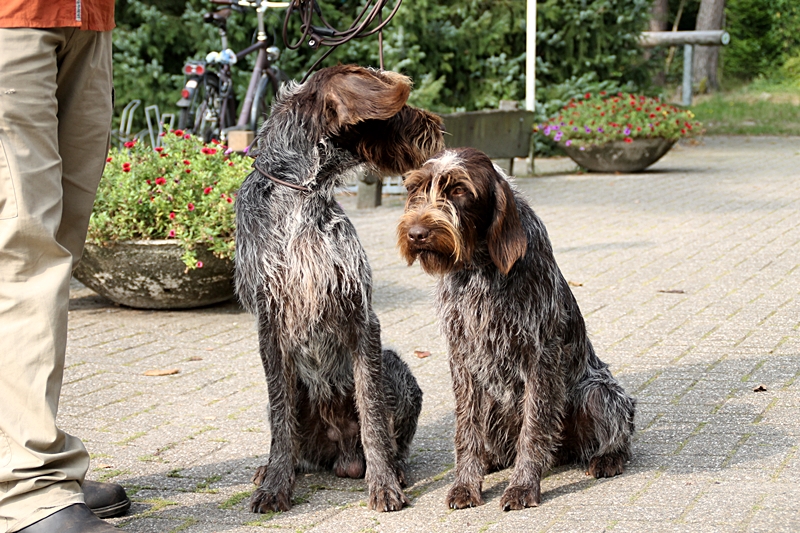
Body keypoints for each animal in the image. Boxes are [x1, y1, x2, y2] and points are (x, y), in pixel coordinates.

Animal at [233, 64, 444, 512]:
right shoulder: (269, 322)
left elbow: (372, 414)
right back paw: (276, 467)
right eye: (399, 108)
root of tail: (340, 456)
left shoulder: (361, 315)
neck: (299, 195)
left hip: (394, 365)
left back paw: (395, 468)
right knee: (288, 433)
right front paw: (275, 485)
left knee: (391, 435)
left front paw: (383, 483)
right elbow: (282, 420)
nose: (436, 124)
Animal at [396, 147, 636, 512]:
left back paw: (607, 458)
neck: (480, 269)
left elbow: (533, 429)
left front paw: (523, 486)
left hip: (597, 391)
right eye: (414, 188)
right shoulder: (462, 358)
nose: (417, 234)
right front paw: (466, 483)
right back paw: (490, 460)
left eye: (459, 190)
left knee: (615, 433)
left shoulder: (541, 357)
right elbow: (466, 430)